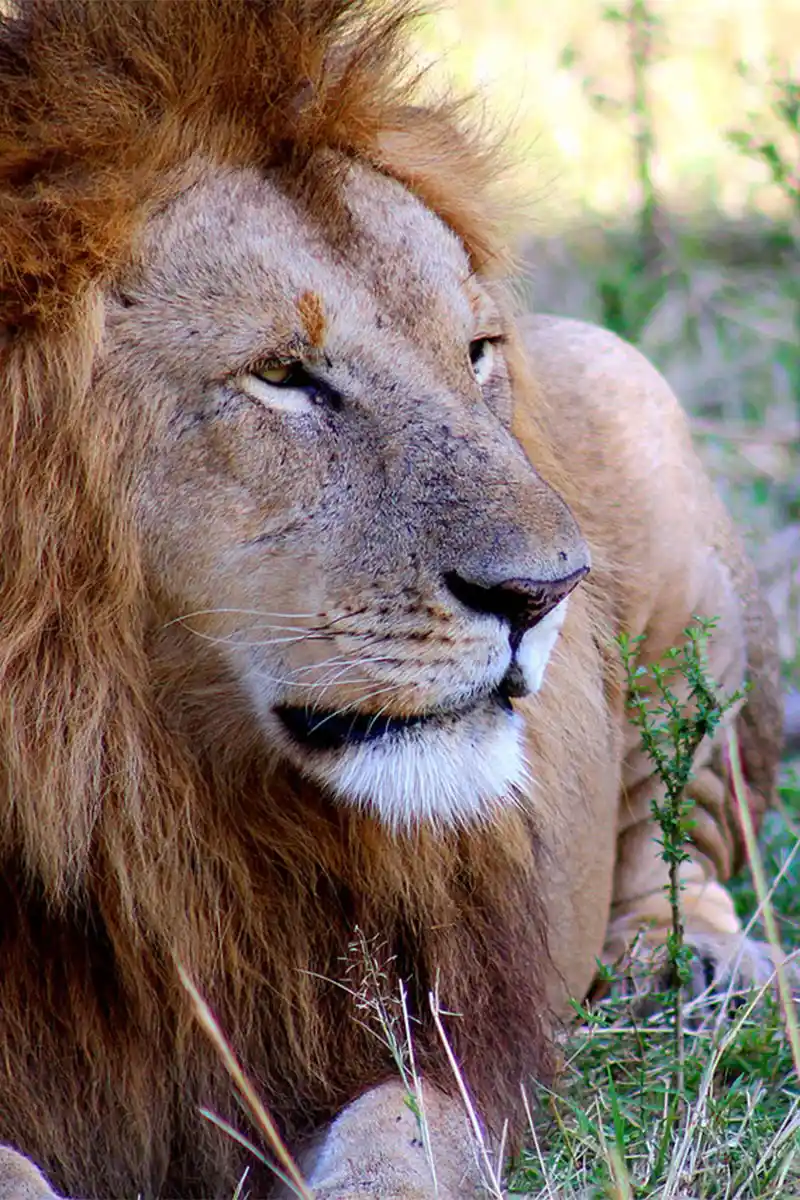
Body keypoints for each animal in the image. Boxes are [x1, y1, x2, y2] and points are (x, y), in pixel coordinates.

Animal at [0, 1, 783, 1198]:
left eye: (475, 351)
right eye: (283, 375)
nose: (546, 592)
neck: (129, 788)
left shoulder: (447, 1036)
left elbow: (395, 1139)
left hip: (632, 398)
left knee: (683, 832)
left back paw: (701, 972)